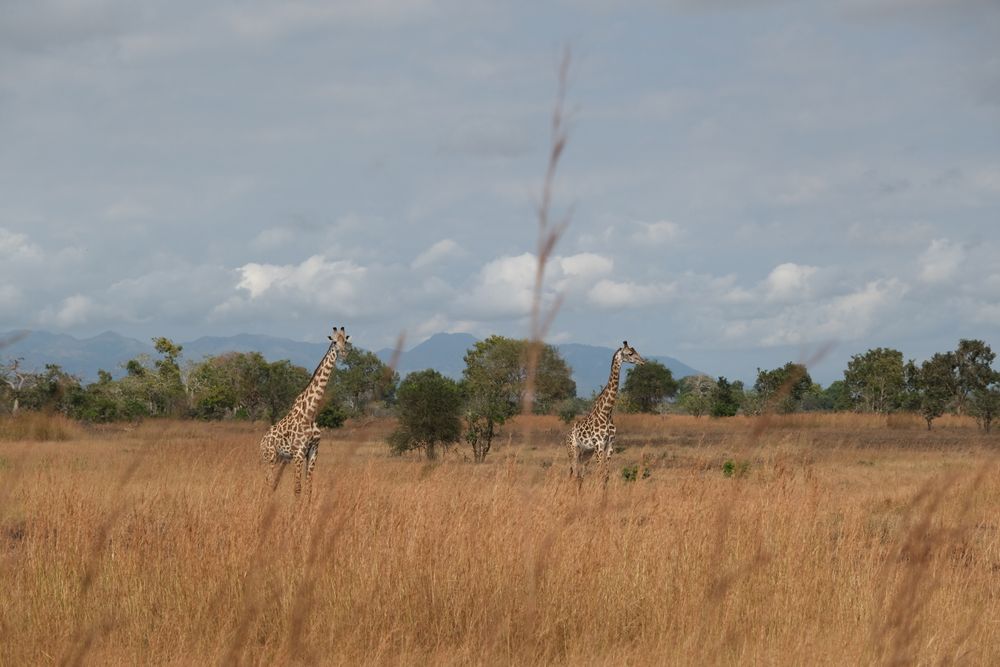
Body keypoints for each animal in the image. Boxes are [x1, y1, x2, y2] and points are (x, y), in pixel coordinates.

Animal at [259, 325, 350, 499]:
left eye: (346, 341)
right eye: (335, 342)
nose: (344, 353)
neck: (311, 412)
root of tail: (262, 441)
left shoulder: (313, 451)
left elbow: (309, 488)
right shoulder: (299, 452)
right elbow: (297, 489)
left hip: (282, 458)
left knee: (273, 484)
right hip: (270, 457)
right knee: (267, 482)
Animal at [566, 341, 646, 487]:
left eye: (635, 351)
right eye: (630, 353)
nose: (643, 361)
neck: (606, 412)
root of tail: (568, 433)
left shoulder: (610, 445)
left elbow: (605, 476)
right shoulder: (599, 444)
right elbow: (599, 473)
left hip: (586, 452)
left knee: (580, 475)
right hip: (572, 449)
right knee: (574, 473)